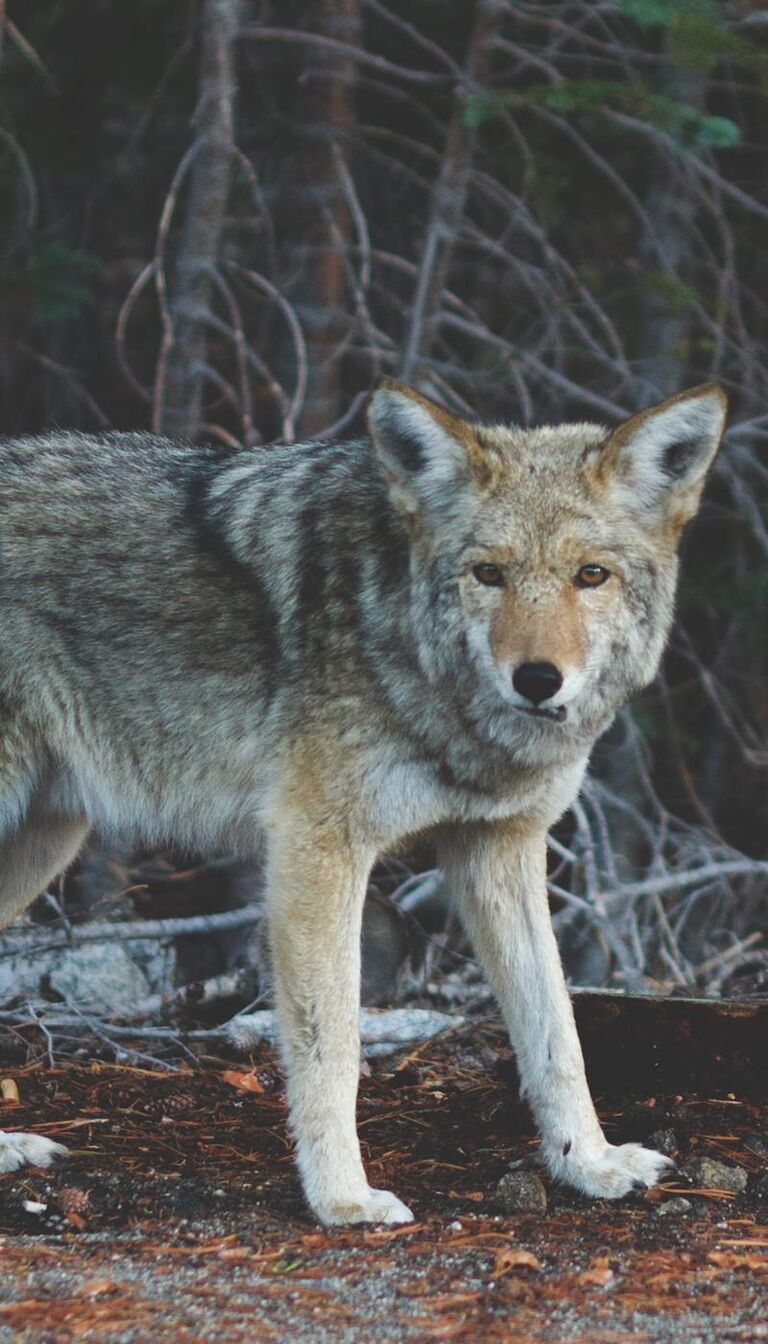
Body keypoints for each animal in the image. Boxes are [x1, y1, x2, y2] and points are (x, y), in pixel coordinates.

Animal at [0, 378, 726, 1221]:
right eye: (489, 574)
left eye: (591, 576)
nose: (539, 679)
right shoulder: (317, 849)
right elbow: (334, 1044)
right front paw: (342, 1200)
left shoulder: (500, 849)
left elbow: (558, 1031)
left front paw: (590, 1164)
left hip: (46, 839)